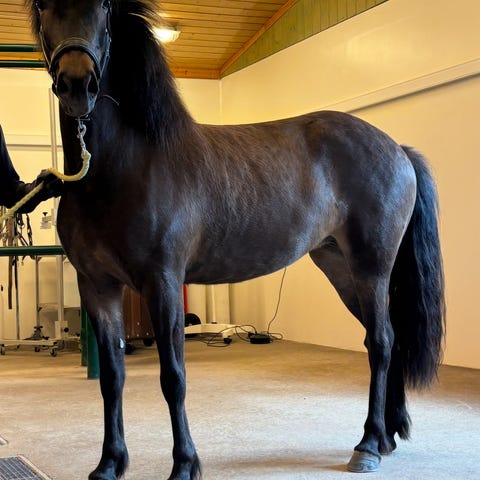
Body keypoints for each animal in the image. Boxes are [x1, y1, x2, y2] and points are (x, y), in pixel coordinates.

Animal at [26, 1, 445, 478]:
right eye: (42, 6)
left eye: (104, 7)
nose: (77, 83)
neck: (120, 169)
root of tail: (397, 149)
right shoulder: (97, 285)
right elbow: (113, 377)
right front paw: (110, 463)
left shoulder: (162, 282)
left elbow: (173, 376)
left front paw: (185, 464)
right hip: (341, 268)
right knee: (389, 337)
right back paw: (389, 435)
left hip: (371, 268)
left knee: (381, 343)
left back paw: (370, 443)